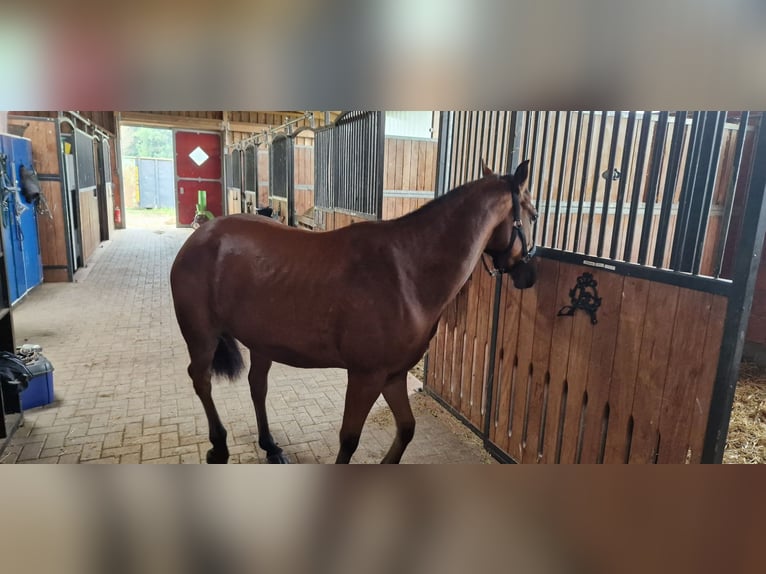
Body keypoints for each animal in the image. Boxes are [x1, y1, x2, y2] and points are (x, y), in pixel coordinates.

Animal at [170, 160, 536, 466]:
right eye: (533, 214)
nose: (529, 274)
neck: (406, 271)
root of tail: (201, 236)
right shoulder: (365, 376)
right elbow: (349, 439)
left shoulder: (393, 375)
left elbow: (407, 428)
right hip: (201, 337)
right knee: (201, 380)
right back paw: (219, 447)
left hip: (262, 343)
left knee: (256, 386)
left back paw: (271, 447)